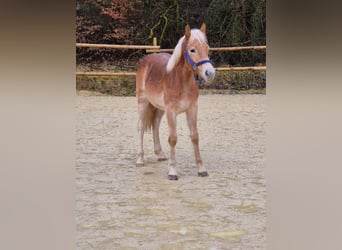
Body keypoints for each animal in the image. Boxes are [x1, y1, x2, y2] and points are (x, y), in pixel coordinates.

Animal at [136, 23, 214, 180]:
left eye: (207, 48)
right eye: (192, 50)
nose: (210, 73)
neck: (181, 81)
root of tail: (145, 60)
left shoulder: (192, 109)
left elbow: (195, 136)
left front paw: (201, 169)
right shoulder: (171, 111)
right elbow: (172, 138)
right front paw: (172, 171)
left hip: (159, 108)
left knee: (155, 125)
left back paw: (160, 154)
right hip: (143, 102)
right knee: (141, 127)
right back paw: (140, 159)